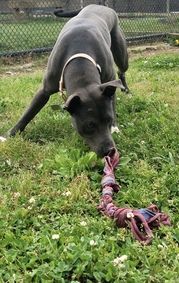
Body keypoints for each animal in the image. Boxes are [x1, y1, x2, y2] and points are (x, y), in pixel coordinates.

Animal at [8, 3, 129, 158]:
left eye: (109, 120)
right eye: (90, 125)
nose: (110, 151)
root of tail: (98, 5)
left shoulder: (109, 81)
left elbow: (112, 102)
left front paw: (114, 128)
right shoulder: (44, 91)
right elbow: (28, 113)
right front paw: (9, 135)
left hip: (121, 54)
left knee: (121, 70)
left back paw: (126, 89)